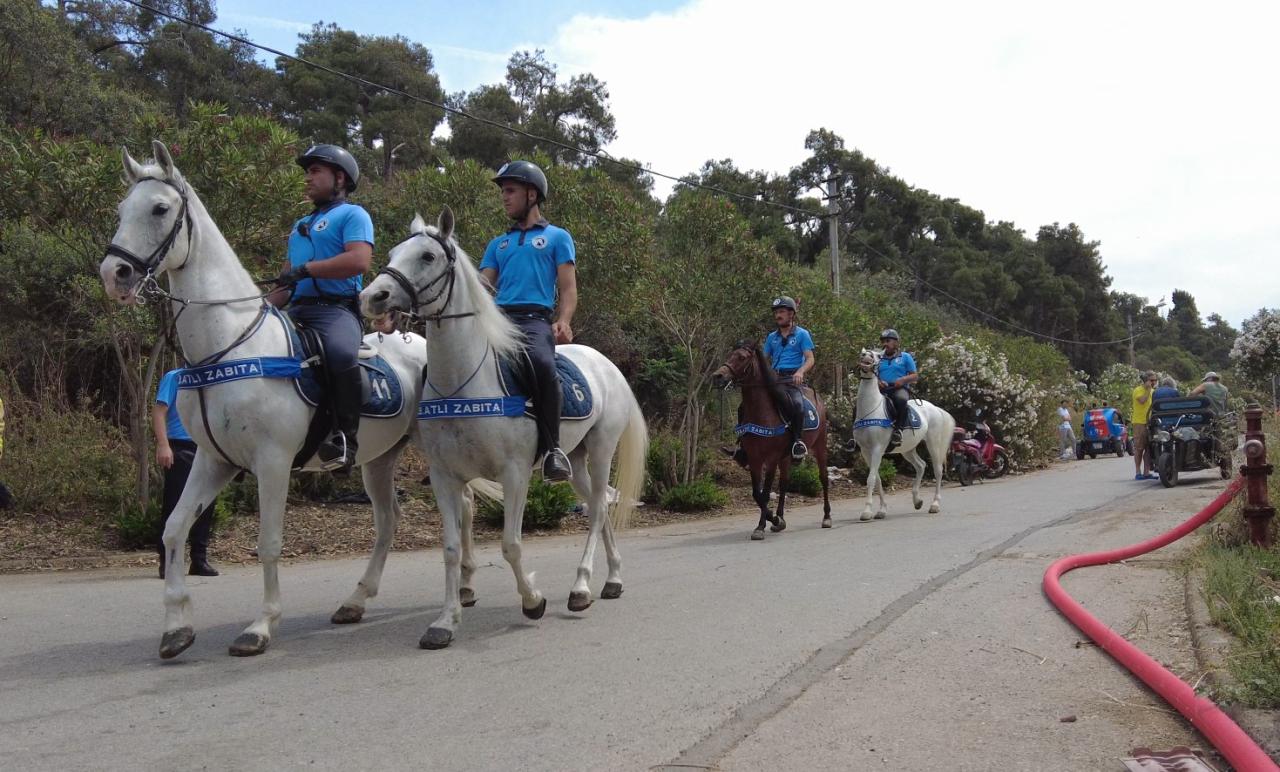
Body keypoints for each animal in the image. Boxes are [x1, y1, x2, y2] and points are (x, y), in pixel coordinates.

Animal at [99, 140, 440, 659]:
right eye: (121, 210)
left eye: (158, 208)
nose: (114, 273)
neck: (230, 344)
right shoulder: (213, 460)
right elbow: (174, 527)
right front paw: (176, 627)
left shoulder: (273, 461)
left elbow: (269, 542)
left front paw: (260, 627)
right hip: (379, 459)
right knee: (388, 522)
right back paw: (355, 601)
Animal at [360, 208, 648, 649]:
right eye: (392, 253)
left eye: (427, 256)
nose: (373, 297)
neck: (465, 380)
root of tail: (607, 364)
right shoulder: (444, 477)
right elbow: (450, 549)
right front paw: (444, 622)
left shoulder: (514, 474)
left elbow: (511, 545)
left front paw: (533, 601)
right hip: (575, 459)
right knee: (597, 505)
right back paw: (612, 577)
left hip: (601, 449)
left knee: (599, 508)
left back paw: (582, 588)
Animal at [711, 342, 831, 539]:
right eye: (730, 355)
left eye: (742, 357)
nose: (718, 376)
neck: (762, 412)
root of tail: (818, 398)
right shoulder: (755, 458)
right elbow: (757, 494)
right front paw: (773, 519)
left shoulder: (771, 458)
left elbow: (765, 493)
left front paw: (762, 526)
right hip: (786, 457)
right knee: (784, 484)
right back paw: (780, 518)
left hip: (820, 446)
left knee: (823, 478)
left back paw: (827, 517)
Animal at [850, 348, 955, 520]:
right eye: (864, 352)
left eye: (878, 356)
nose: (866, 355)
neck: (870, 408)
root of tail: (934, 408)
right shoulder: (866, 451)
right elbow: (878, 479)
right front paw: (881, 510)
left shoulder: (877, 449)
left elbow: (871, 479)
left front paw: (866, 512)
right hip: (907, 449)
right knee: (921, 466)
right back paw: (917, 501)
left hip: (933, 443)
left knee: (938, 470)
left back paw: (934, 505)